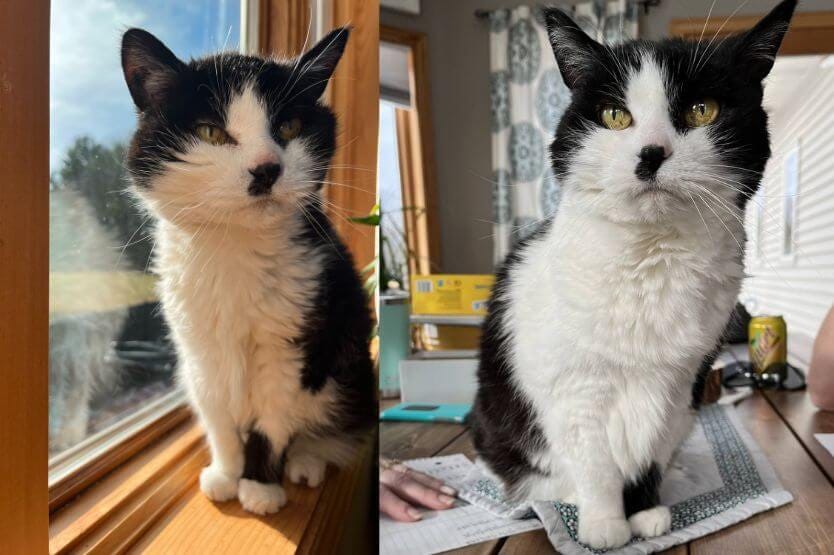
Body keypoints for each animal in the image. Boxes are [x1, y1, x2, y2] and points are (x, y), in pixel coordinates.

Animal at [120, 28, 374, 516]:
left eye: (289, 128)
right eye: (211, 132)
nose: (266, 168)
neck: (234, 248)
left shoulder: (293, 336)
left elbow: (272, 417)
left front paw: (259, 486)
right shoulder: (198, 344)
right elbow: (217, 411)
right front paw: (226, 472)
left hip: (346, 368)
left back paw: (306, 461)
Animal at [472, 0, 788, 548]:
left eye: (701, 110)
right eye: (615, 116)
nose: (652, 153)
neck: (650, 258)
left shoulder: (677, 387)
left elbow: (650, 453)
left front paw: (644, 512)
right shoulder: (574, 392)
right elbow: (595, 464)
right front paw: (604, 525)